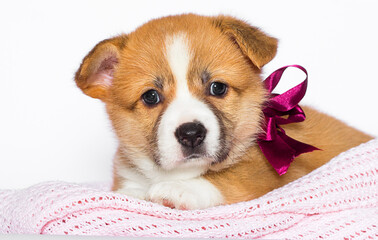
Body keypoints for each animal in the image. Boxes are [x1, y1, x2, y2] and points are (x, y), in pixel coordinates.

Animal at [74, 13, 372, 210]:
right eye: (150, 96)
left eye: (217, 88)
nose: (191, 134)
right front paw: (135, 192)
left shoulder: (285, 174)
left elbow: (232, 178)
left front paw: (179, 189)